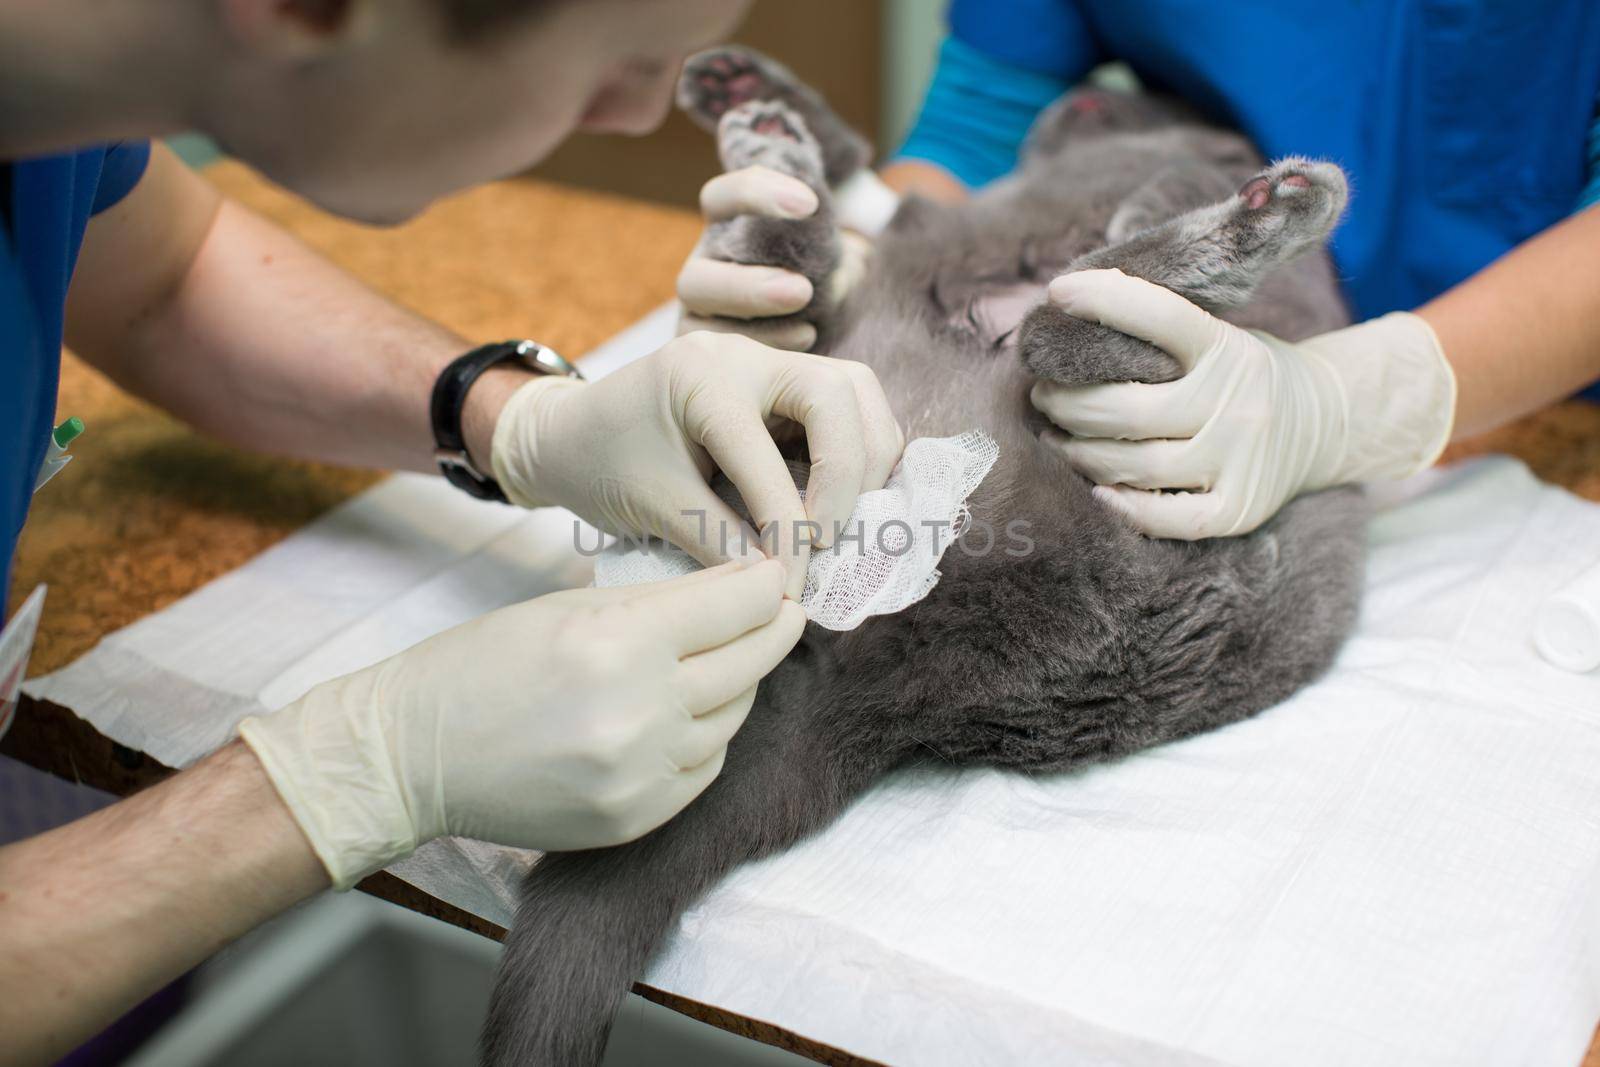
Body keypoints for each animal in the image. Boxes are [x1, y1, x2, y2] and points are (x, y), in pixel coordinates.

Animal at [480, 49, 1369, 1067]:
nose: (1082, 98)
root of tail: (882, 689)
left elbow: (1156, 177)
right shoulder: (941, 208)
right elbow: (884, 190)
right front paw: (749, 92)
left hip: (1150, 527)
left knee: (1065, 324)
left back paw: (1275, 209)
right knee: (918, 312)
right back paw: (774, 165)